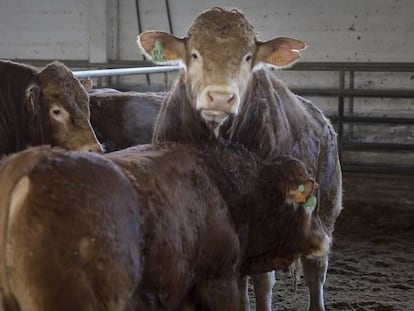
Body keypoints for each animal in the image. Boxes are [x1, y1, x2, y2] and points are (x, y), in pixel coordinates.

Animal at [137, 6, 342, 311]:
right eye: (194, 54)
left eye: (248, 57)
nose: (220, 97)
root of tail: (322, 122)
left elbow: (263, 281)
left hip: (326, 210)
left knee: (314, 273)